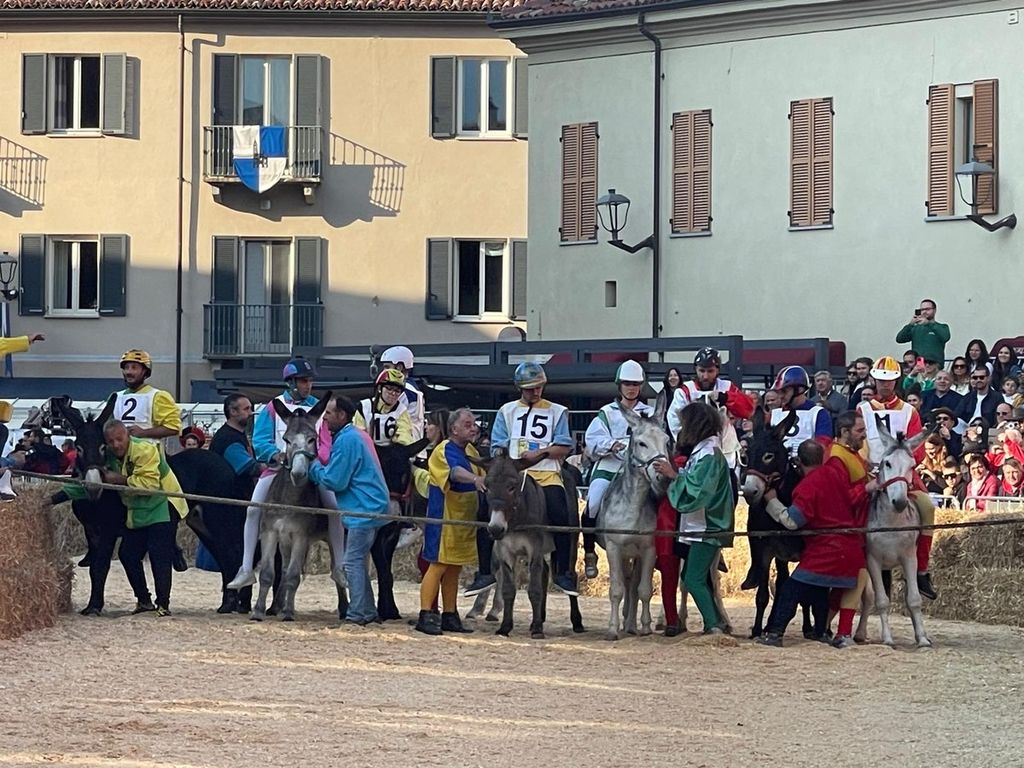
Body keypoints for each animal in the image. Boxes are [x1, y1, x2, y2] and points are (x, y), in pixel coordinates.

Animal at [369, 437, 430, 621]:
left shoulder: (391, 537)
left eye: (405, 476)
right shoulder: (375, 539)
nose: (393, 512)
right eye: (380, 473)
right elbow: (384, 573)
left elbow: (387, 575)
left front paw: (389, 611)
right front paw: (384, 612)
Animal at [473, 454, 584, 639]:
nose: (495, 528)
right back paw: (540, 617)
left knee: (571, 574)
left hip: (571, 540)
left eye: (512, 487)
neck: (517, 518)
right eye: (487, 487)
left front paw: (538, 630)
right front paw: (505, 627)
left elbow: (534, 590)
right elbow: (508, 590)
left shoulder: (534, 550)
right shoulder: (505, 551)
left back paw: (577, 622)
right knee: (545, 572)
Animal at [593, 405, 672, 640]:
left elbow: (643, 590)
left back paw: (630, 624)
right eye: (641, 443)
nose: (664, 477)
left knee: (633, 584)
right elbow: (616, 590)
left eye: (666, 441)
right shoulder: (614, 548)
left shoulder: (648, 549)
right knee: (627, 583)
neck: (632, 507)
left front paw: (644, 627)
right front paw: (612, 629)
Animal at [739, 408, 815, 639]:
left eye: (768, 456)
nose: (750, 492)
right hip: (781, 555)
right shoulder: (765, 551)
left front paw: (808, 628)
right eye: (745, 456)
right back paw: (770, 625)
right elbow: (763, 595)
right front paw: (756, 630)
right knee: (781, 583)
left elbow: (804, 593)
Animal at [865, 419, 931, 648]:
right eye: (887, 463)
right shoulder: (872, 560)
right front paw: (887, 639)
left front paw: (922, 638)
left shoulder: (909, 558)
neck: (891, 524)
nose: (900, 502)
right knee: (867, 597)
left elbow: (914, 600)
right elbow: (881, 600)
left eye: (911, 466)